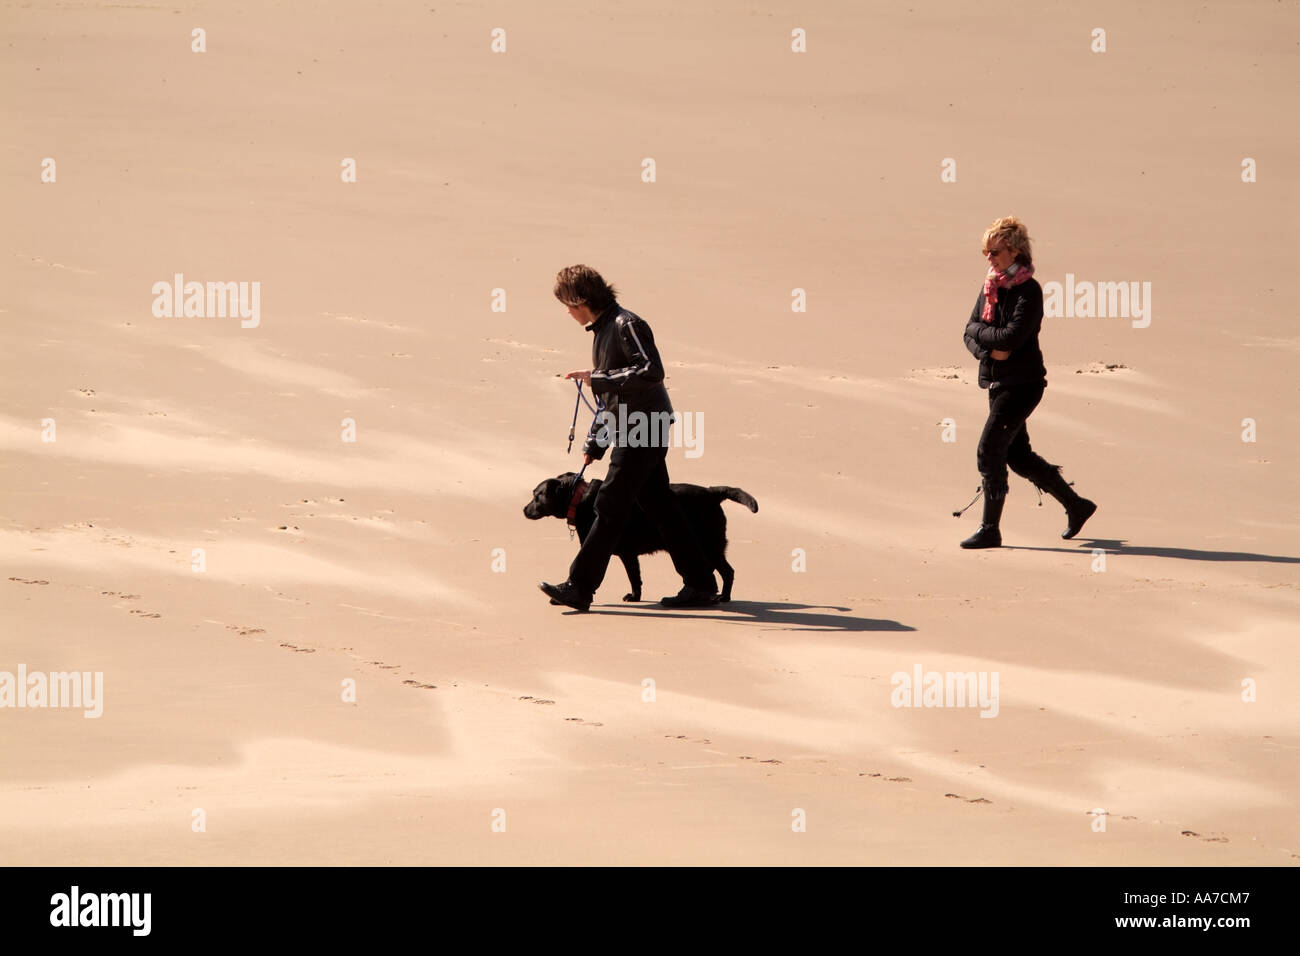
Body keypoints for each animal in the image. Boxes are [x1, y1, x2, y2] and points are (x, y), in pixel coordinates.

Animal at [522, 476, 759, 600]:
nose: (524, 509)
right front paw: (635, 597)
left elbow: (629, 576)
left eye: (537, 495)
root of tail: (713, 493)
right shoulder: (629, 555)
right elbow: (635, 578)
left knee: (728, 572)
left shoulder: (618, 551)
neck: (578, 500)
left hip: (711, 545)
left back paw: (722, 598)